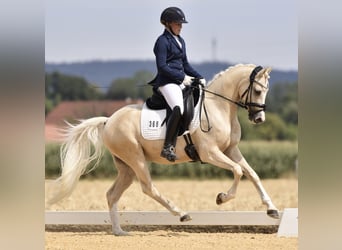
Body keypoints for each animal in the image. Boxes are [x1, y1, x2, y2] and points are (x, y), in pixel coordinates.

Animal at [46, 63, 280, 235]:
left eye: (266, 91)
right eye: (257, 90)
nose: (259, 119)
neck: (218, 107)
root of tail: (108, 120)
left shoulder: (231, 150)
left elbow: (252, 174)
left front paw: (272, 209)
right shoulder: (210, 153)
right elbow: (238, 171)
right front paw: (222, 197)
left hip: (126, 167)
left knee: (112, 194)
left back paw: (119, 231)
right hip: (135, 158)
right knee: (148, 187)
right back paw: (181, 213)